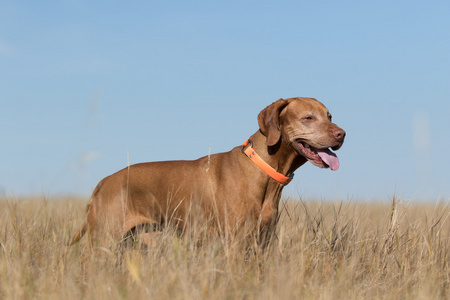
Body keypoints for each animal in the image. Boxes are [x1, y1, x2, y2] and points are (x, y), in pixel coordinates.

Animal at [69, 97, 344, 247]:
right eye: (308, 117)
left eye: (329, 116)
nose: (342, 134)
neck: (263, 169)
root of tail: (103, 182)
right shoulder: (235, 244)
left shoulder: (260, 243)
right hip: (104, 241)